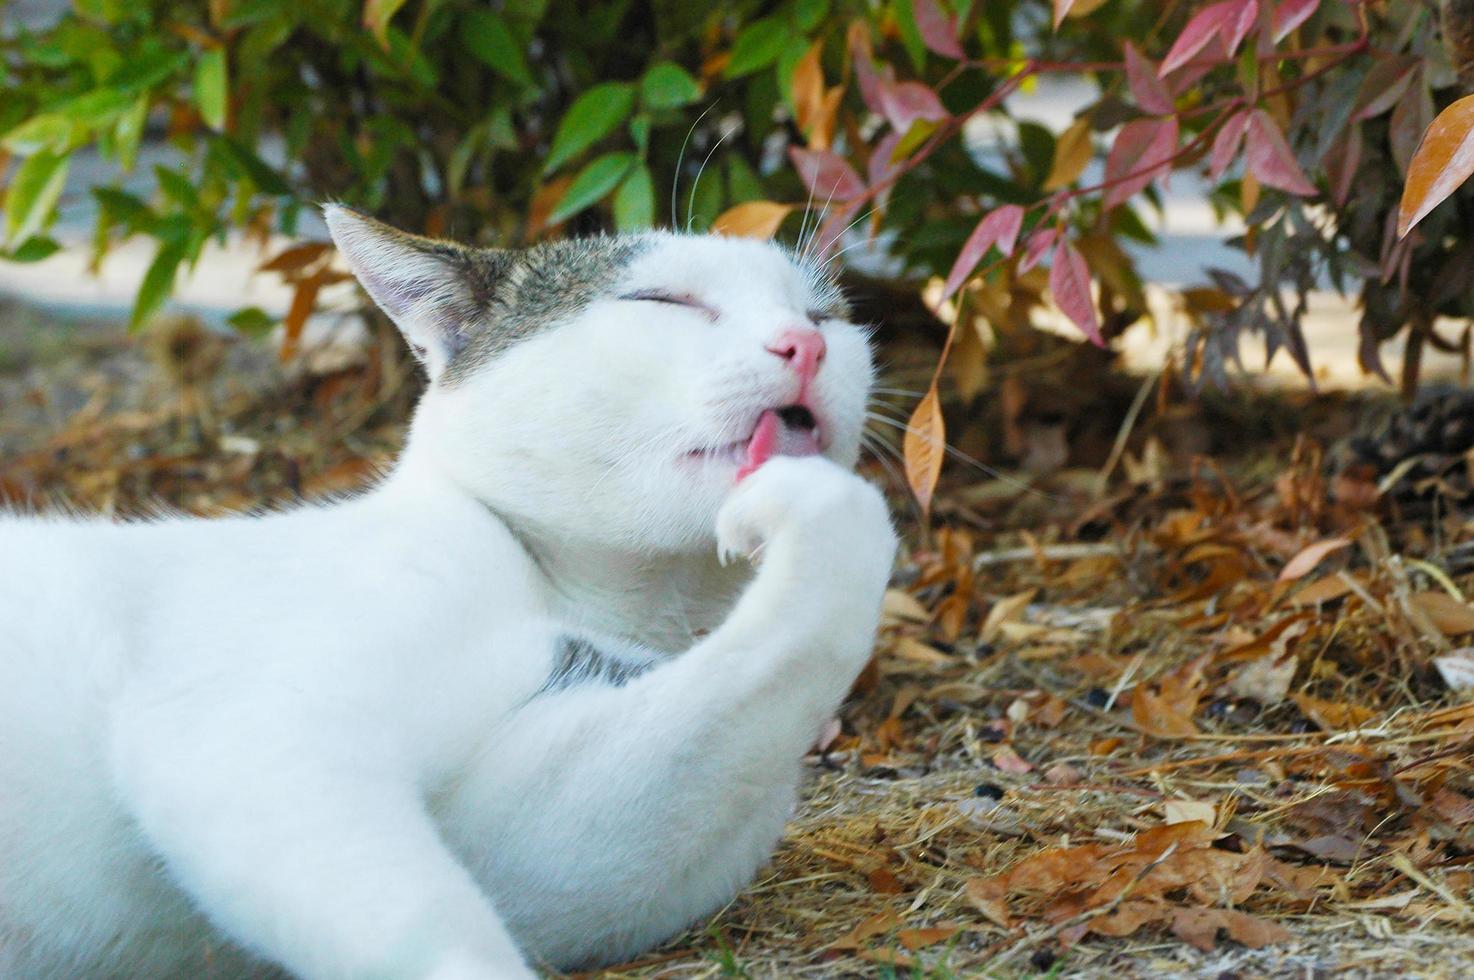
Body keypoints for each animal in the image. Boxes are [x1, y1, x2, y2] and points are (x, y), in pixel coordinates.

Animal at [0, 207, 896, 978]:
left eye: (825, 315)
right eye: (664, 301)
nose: (803, 346)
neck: (583, 598)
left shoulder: (534, 841)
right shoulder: (239, 729)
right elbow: (434, 932)